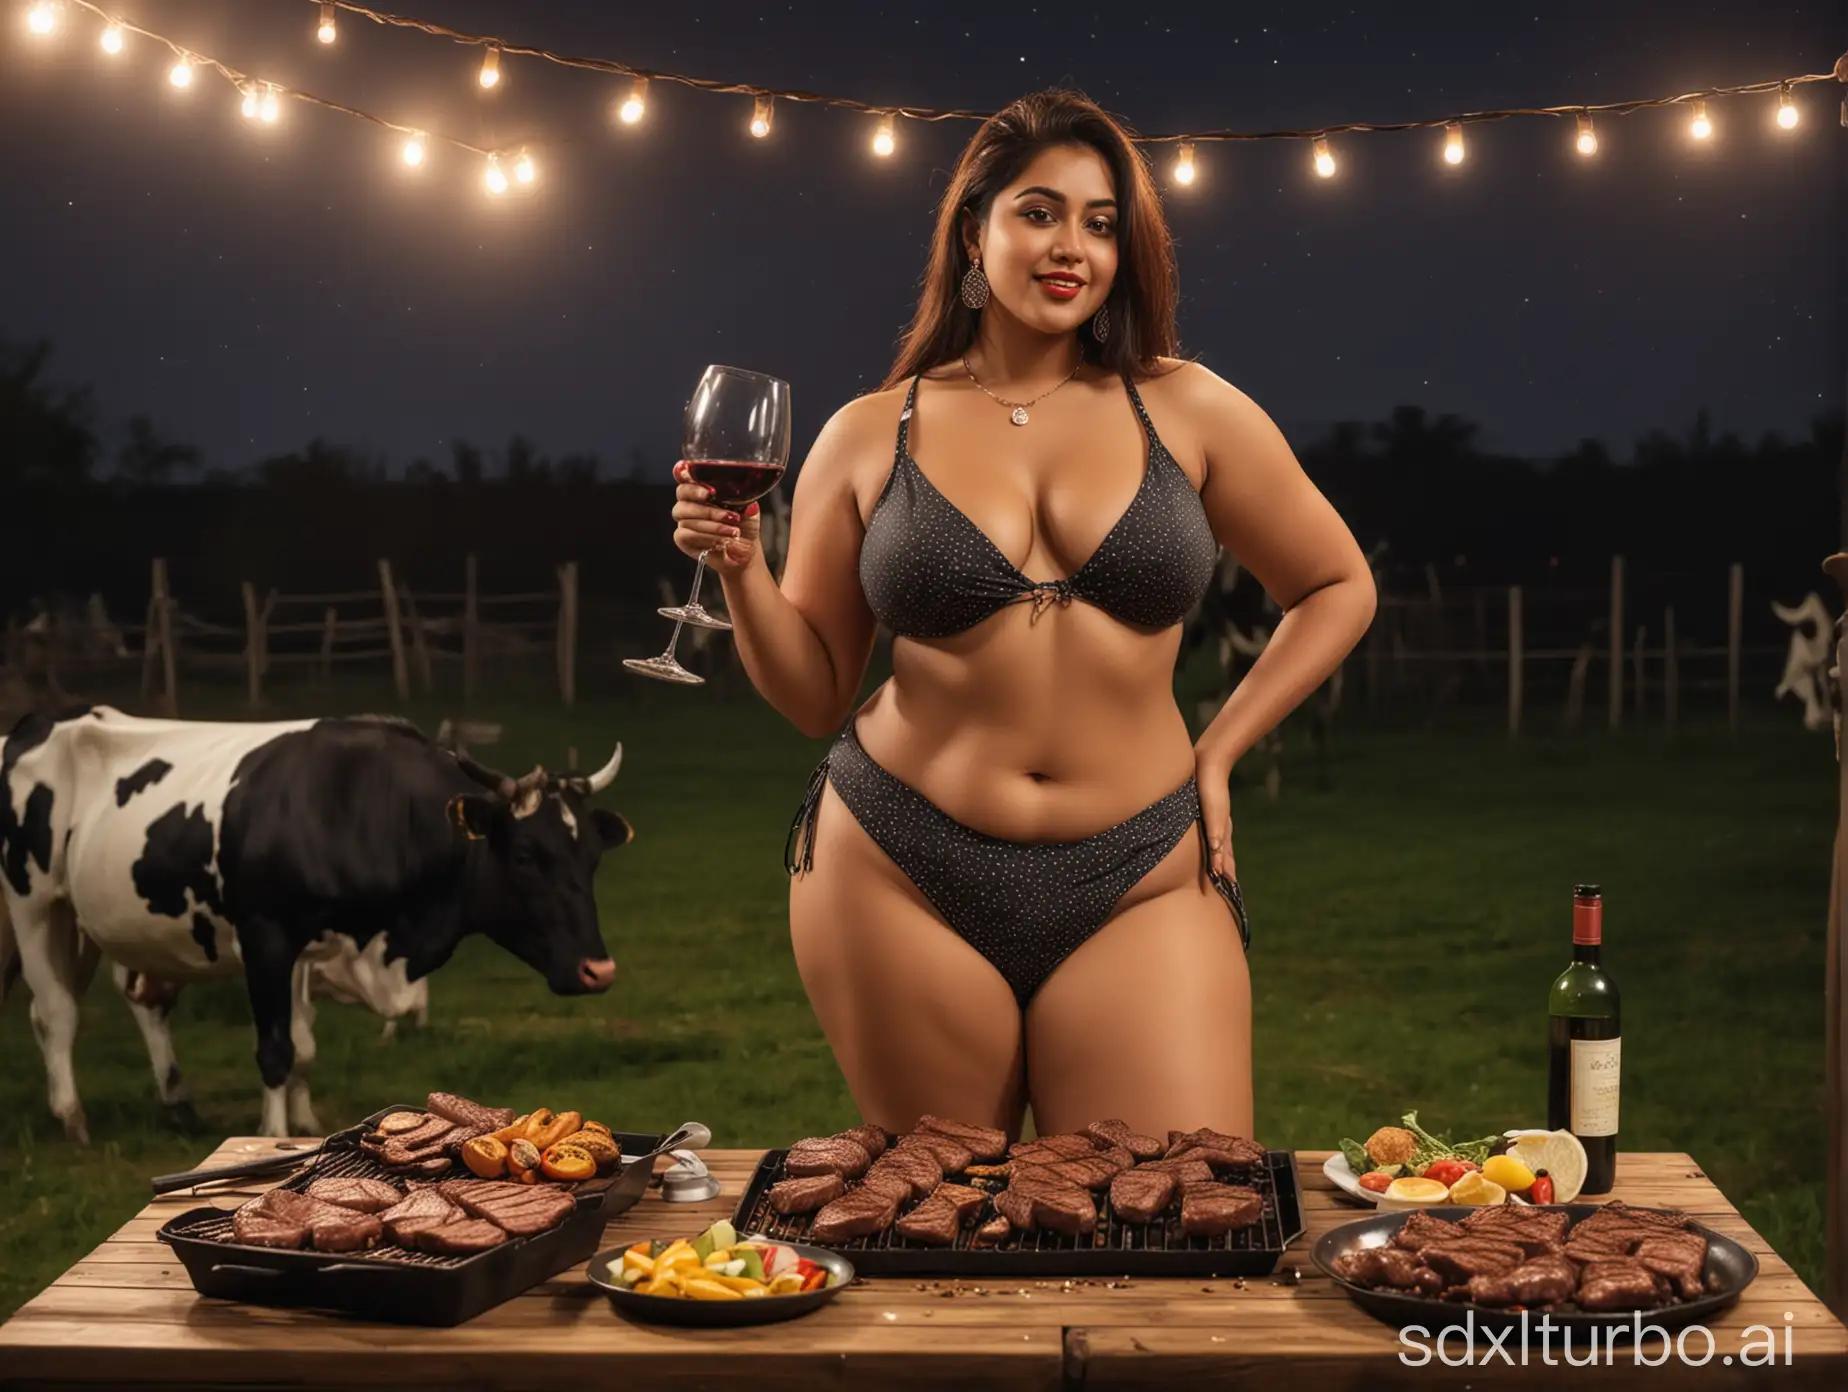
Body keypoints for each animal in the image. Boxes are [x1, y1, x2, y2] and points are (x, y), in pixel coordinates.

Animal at [0, 706, 632, 1138]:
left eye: (592, 858)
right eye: (525, 855)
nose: (599, 970)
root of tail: (35, 722)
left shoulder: (314, 947)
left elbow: (303, 1047)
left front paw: (304, 1123)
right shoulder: (266, 936)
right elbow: (277, 1049)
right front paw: (274, 1135)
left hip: (104, 920)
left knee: (144, 999)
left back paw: (177, 1101)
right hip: (32, 901)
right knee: (54, 1011)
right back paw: (72, 1117)